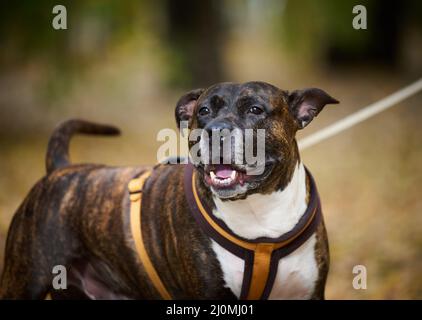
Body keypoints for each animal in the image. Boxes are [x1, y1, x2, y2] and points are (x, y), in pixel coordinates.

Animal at [0, 80, 336, 300]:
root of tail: (61, 168)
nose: (214, 131)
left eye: (255, 109)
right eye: (203, 111)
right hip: (23, 279)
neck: (259, 211)